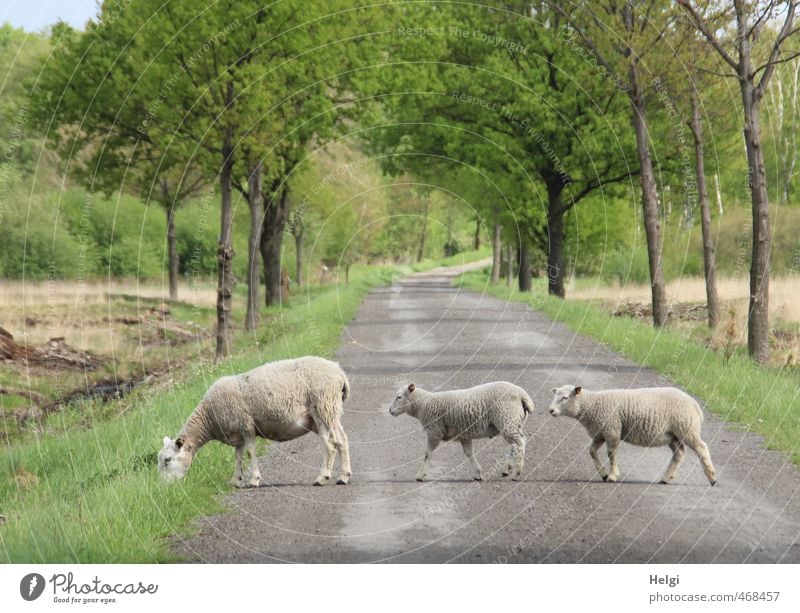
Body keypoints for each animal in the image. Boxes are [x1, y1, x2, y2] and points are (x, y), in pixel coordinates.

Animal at [158, 356, 352, 486]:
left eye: (167, 460)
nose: (163, 488)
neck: (208, 417)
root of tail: (339, 372)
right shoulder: (236, 434)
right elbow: (237, 456)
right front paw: (235, 480)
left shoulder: (246, 425)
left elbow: (250, 452)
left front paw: (253, 479)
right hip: (330, 411)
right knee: (342, 440)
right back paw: (344, 476)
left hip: (321, 406)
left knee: (330, 444)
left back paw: (322, 478)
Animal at [390, 380, 536, 480]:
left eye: (399, 397)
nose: (390, 410)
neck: (423, 404)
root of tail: (522, 395)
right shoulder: (464, 435)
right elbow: (468, 453)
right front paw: (477, 473)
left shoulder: (434, 431)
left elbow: (427, 454)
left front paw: (420, 475)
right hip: (513, 422)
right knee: (516, 444)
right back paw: (508, 468)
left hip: (507, 418)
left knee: (519, 443)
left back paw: (516, 472)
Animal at [548, 384, 716, 486]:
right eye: (555, 396)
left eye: (565, 397)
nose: (550, 410)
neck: (592, 404)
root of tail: (694, 404)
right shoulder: (601, 433)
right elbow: (592, 451)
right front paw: (603, 474)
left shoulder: (612, 429)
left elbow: (611, 453)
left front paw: (612, 476)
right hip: (673, 435)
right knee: (679, 453)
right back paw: (666, 478)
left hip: (686, 428)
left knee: (701, 448)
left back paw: (712, 478)